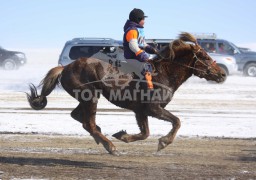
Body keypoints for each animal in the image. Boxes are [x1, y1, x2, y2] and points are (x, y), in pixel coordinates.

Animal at [26, 32, 226, 155]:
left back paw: (102, 138)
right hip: (90, 97)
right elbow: (176, 121)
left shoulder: (141, 111)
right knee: (88, 123)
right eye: (205, 56)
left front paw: (123, 135)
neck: (164, 72)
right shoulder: (153, 108)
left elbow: (145, 133)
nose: (223, 74)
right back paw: (110, 147)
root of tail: (65, 67)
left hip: (86, 98)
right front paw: (163, 142)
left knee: (80, 118)